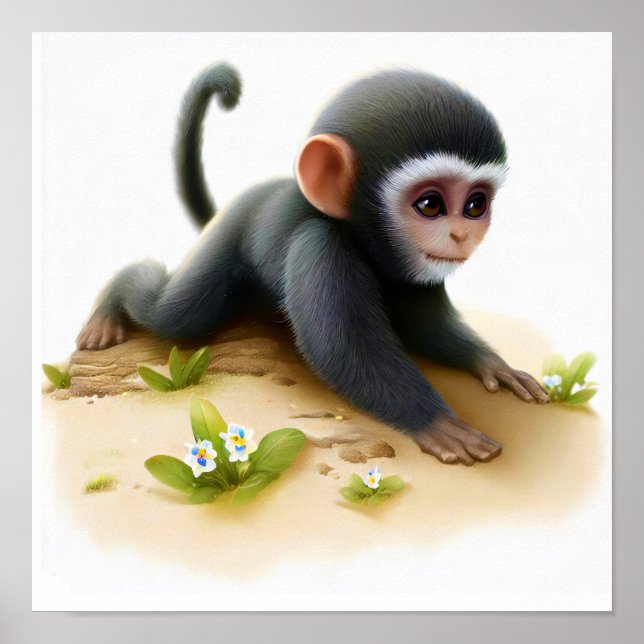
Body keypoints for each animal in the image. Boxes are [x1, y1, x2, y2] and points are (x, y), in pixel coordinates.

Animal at [77, 62, 550, 466]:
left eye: (475, 205)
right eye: (430, 205)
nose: (460, 235)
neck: (362, 236)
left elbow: (423, 323)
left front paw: (491, 363)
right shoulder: (319, 246)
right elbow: (343, 348)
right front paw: (438, 423)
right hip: (225, 243)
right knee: (175, 314)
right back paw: (111, 301)